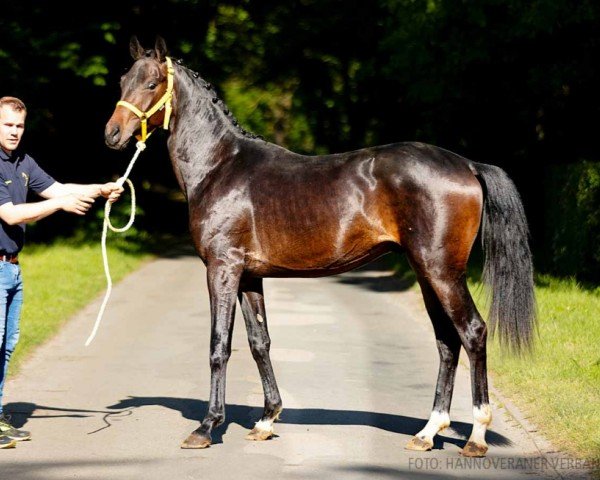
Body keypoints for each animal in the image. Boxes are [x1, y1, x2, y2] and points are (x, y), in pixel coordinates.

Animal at [104, 38, 540, 458]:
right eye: (123, 81)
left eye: (152, 83)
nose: (112, 134)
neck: (220, 166)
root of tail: (467, 165)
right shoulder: (249, 276)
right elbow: (259, 343)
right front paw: (266, 421)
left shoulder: (221, 269)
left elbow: (219, 346)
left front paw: (206, 427)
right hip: (426, 273)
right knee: (447, 342)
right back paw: (427, 432)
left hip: (442, 272)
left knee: (473, 332)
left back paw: (476, 437)